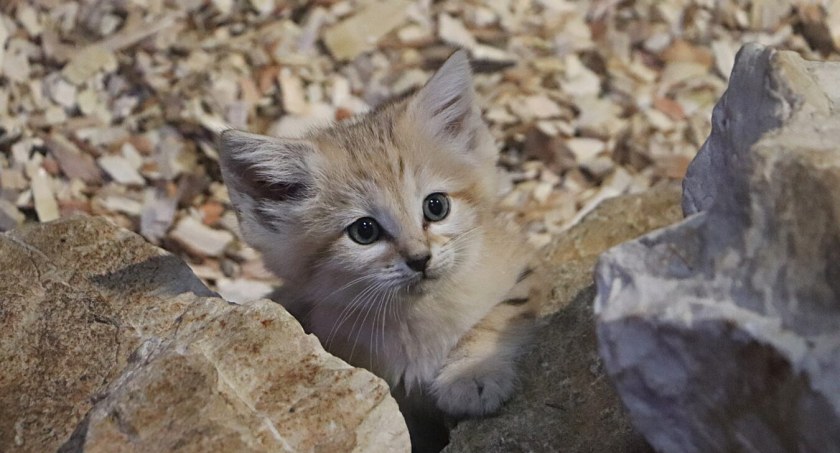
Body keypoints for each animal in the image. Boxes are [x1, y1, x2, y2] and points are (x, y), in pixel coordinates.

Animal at [218, 49, 540, 430]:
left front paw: (470, 373)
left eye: (436, 206)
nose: (420, 258)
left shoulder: (519, 267)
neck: (417, 318)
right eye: (365, 231)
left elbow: (498, 314)